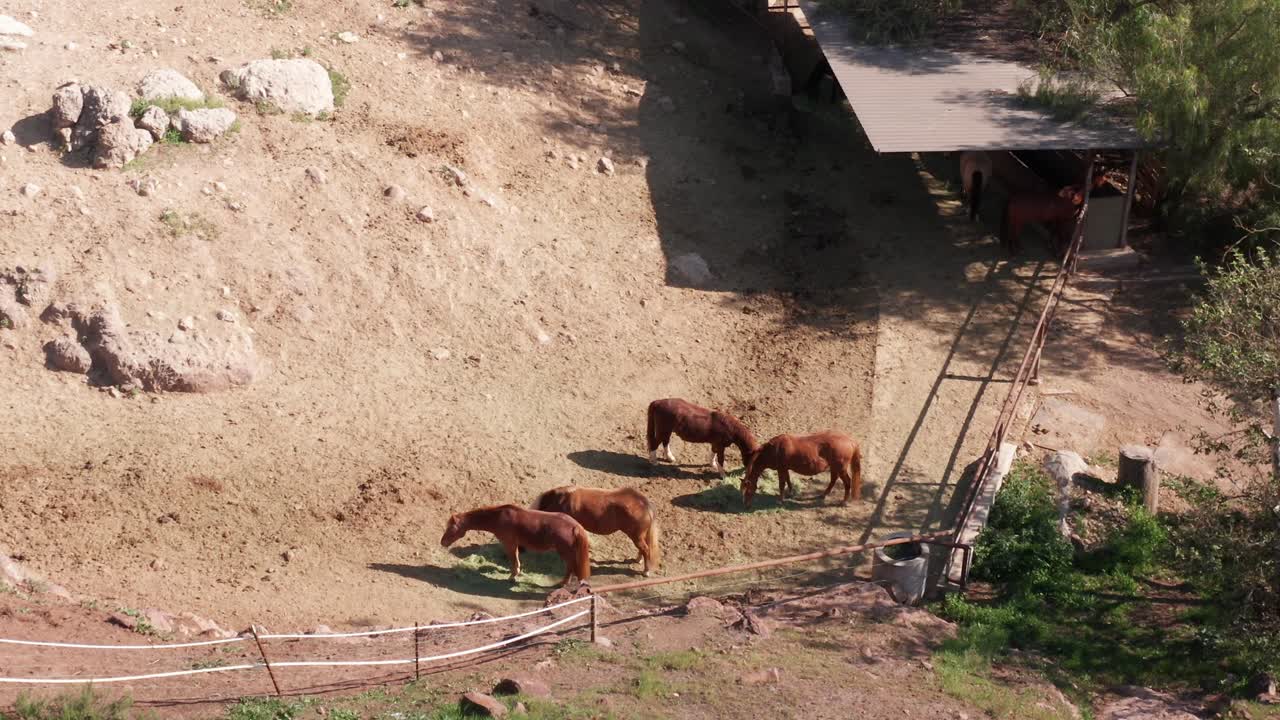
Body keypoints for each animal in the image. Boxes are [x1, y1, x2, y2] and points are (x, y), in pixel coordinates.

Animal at [440, 505, 591, 586]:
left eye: (451, 528)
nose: (442, 542)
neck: (499, 517)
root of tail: (575, 526)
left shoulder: (509, 544)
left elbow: (513, 560)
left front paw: (512, 577)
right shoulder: (515, 544)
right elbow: (516, 560)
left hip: (564, 552)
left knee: (570, 566)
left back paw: (563, 583)